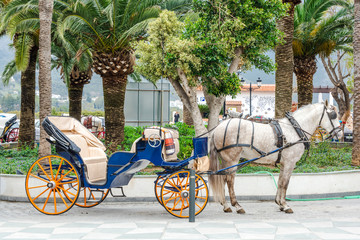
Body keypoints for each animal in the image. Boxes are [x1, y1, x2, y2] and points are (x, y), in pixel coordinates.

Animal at [208, 101, 340, 214]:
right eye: (333, 115)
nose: (339, 133)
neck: (294, 129)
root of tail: (219, 127)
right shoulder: (290, 163)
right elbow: (285, 183)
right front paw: (285, 205)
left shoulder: (283, 163)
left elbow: (280, 182)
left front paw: (279, 203)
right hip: (232, 159)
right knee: (230, 181)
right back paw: (237, 205)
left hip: (226, 160)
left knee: (223, 178)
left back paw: (226, 205)